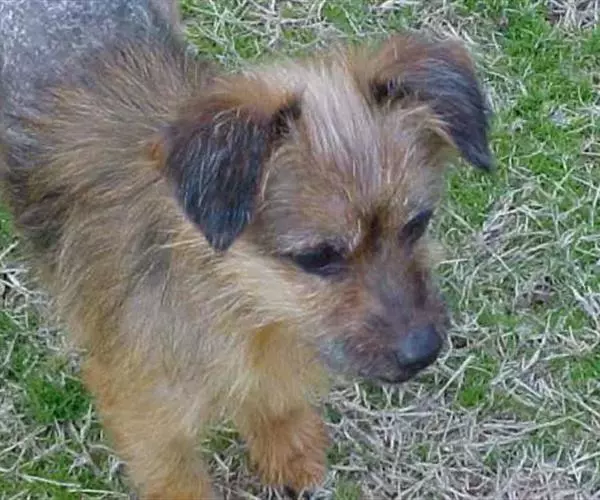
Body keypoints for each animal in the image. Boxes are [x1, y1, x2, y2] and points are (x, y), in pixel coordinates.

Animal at [0, 0, 493, 498]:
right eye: (317, 257)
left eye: (417, 224)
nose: (423, 351)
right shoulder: (148, 417)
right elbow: (178, 480)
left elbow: (271, 391)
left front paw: (285, 445)